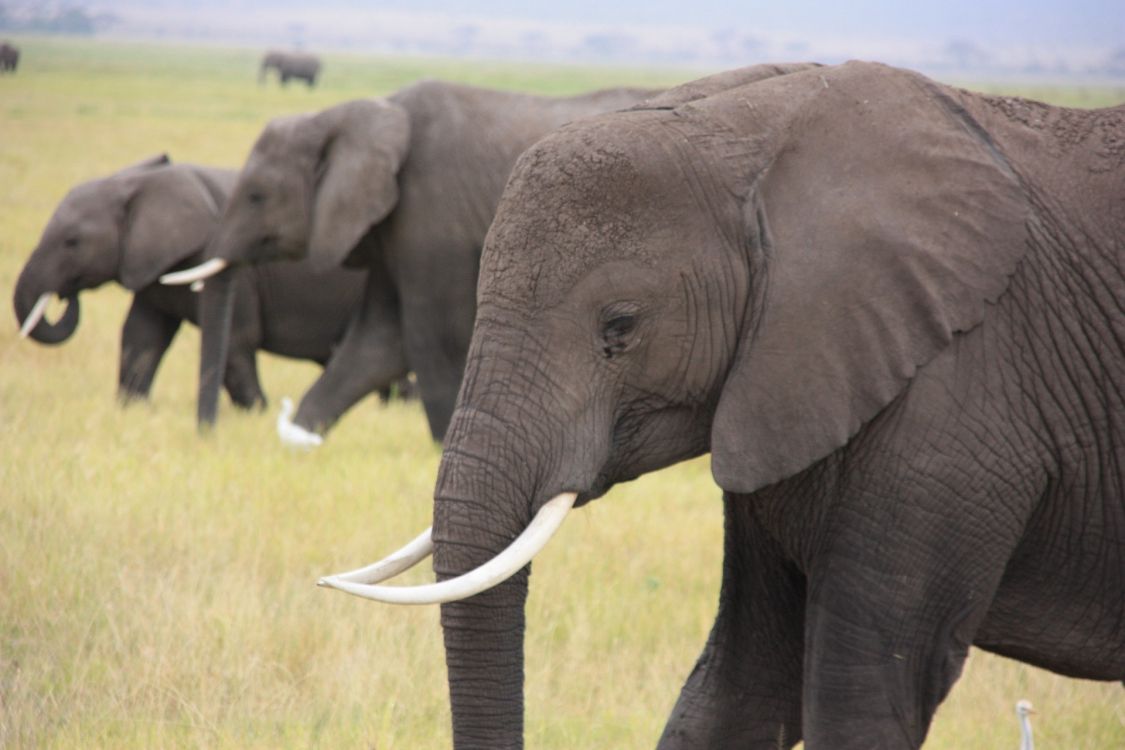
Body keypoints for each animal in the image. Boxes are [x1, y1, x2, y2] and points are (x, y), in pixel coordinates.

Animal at [13, 156, 409, 420]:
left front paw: (256, 416)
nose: (64, 295)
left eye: (72, 242)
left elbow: (236, 339)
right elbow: (141, 336)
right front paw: (132, 409)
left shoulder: (237, 271)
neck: (140, 182)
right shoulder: (152, 266)